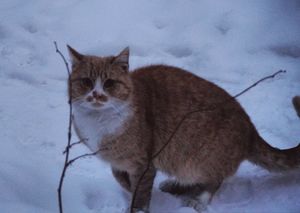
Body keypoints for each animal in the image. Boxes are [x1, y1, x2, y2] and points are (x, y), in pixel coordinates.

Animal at [66, 45, 300, 212]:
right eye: (86, 82)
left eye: (109, 83)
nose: (96, 95)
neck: (99, 121)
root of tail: (250, 127)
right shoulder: (120, 162)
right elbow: (120, 177)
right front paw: (128, 188)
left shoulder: (144, 162)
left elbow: (140, 194)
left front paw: (137, 206)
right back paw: (173, 186)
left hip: (198, 159)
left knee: (215, 180)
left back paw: (198, 201)